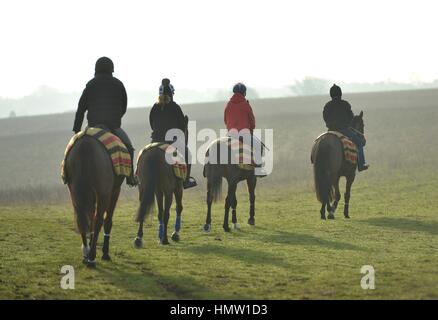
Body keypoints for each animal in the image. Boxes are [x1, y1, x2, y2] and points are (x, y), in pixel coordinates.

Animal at [65, 135, 123, 268]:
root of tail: (86, 146)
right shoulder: (114, 191)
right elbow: (107, 221)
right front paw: (105, 254)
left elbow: (90, 218)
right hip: (104, 194)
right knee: (99, 220)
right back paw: (92, 257)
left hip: (74, 192)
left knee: (82, 218)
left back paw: (86, 253)